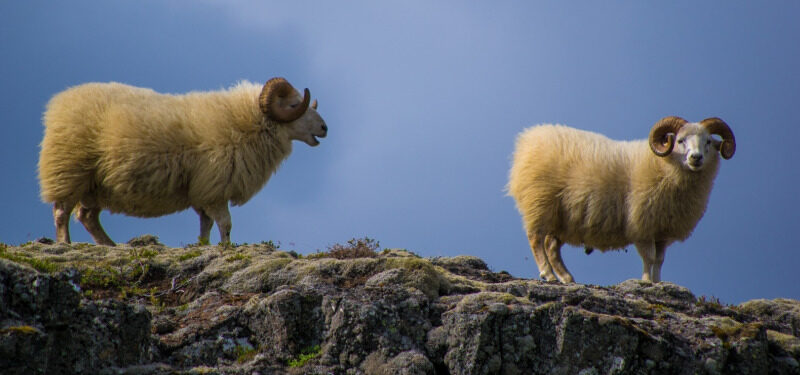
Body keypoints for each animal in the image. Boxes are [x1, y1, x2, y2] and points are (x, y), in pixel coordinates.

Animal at [39, 76, 326, 247]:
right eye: (294, 104)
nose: (324, 128)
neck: (248, 121)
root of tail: (60, 102)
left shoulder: (202, 191)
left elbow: (206, 224)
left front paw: (203, 246)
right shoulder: (215, 189)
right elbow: (225, 224)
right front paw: (226, 248)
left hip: (96, 185)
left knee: (87, 216)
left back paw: (108, 245)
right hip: (69, 171)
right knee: (62, 212)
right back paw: (64, 244)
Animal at [510, 116, 736, 284]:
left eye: (708, 142)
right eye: (680, 140)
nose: (696, 158)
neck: (664, 164)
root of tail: (529, 138)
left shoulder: (662, 229)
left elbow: (660, 259)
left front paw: (658, 283)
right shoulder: (642, 224)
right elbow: (649, 257)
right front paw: (646, 281)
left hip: (560, 217)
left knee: (551, 246)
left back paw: (567, 278)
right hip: (539, 203)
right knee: (536, 239)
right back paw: (548, 274)